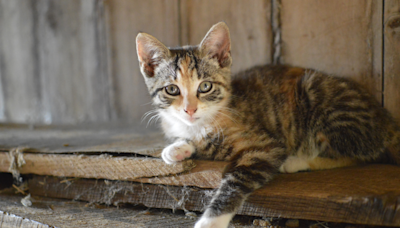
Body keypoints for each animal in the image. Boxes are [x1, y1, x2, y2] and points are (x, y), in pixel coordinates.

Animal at [137, 21, 400, 228]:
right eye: (172, 90)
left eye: (205, 86)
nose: (189, 109)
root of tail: (385, 118)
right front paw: (177, 148)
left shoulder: (264, 146)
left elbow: (235, 181)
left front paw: (210, 221)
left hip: (319, 97)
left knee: (359, 154)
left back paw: (296, 161)